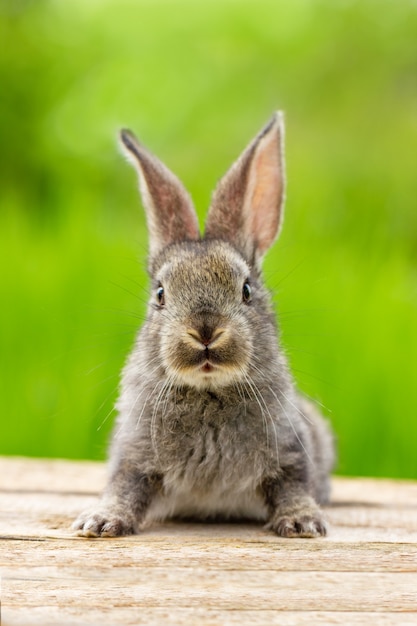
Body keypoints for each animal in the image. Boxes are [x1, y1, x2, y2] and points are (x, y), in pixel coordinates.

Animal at [73, 111, 334, 536]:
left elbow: (291, 485)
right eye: (161, 294)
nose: (205, 330)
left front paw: (303, 522)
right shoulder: (134, 453)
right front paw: (100, 521)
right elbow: (125, 486)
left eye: (246, 290)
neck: (208, 390)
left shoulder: (290, 451)